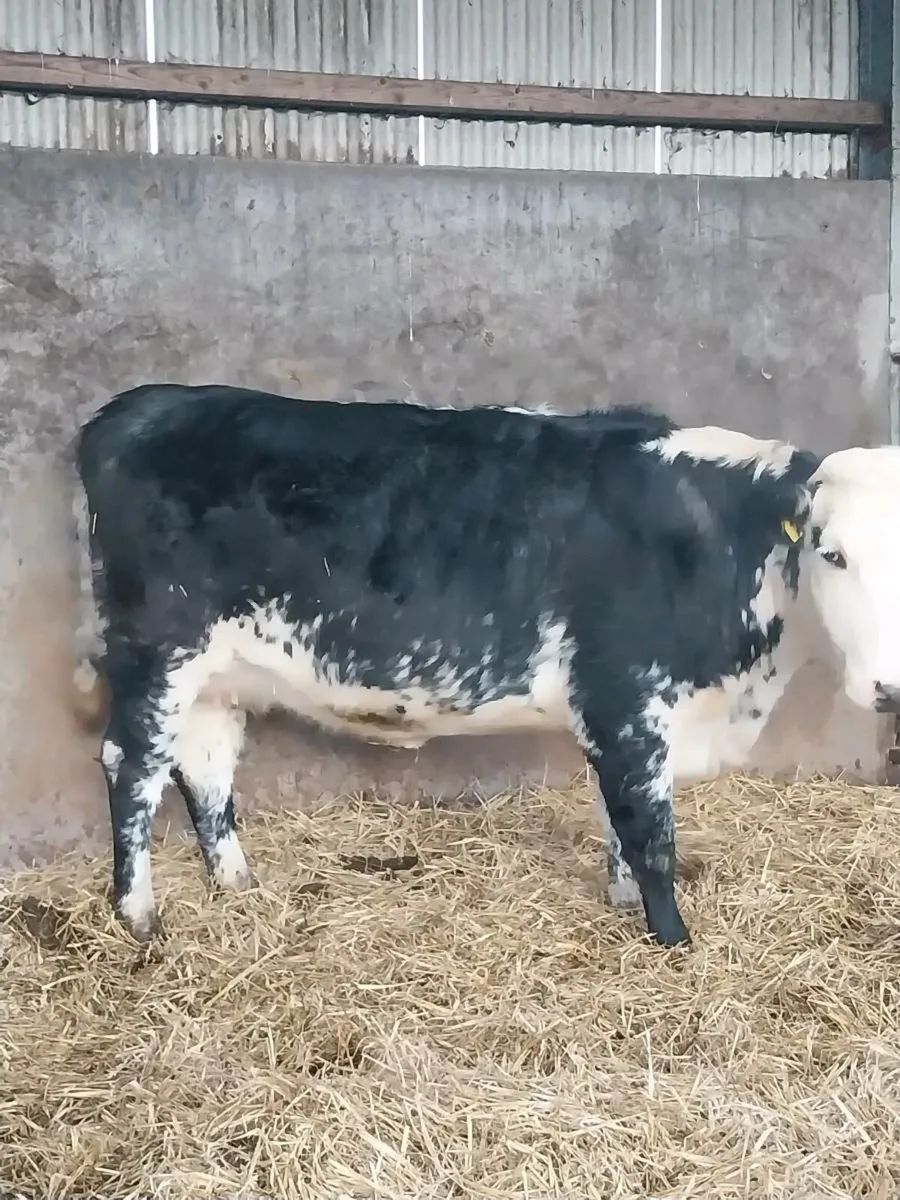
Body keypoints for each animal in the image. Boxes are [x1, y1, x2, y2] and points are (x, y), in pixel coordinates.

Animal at [67, 384, 900, 948]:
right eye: (831, 551)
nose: (890, 687)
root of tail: (141, 407)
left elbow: (622, 829)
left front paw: (622, 905)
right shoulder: (624, 702)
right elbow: (650, 836)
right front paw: (673, 943)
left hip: (216, 675)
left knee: (205, 768)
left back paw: (239, 886)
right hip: (158, 650)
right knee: (131, 766)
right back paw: (138, 914)